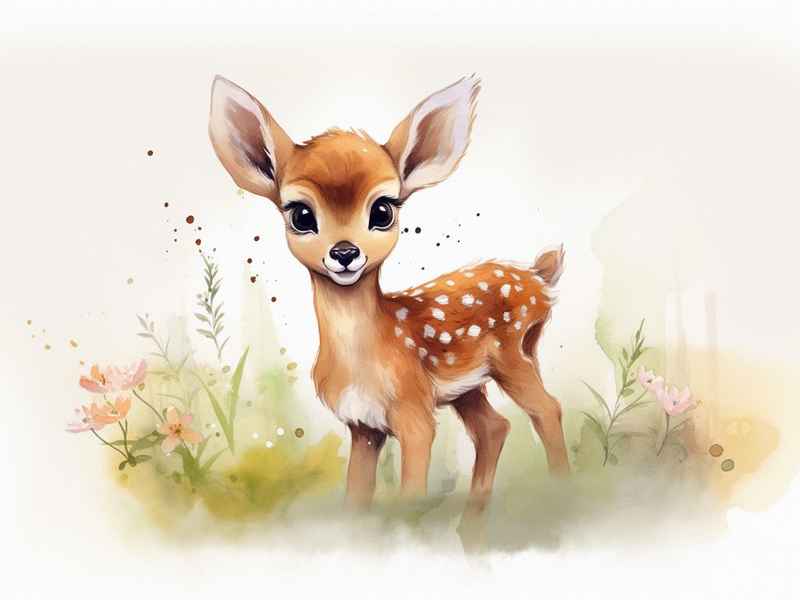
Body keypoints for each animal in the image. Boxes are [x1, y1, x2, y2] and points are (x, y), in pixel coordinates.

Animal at [208, 74, 569, 521]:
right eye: (301, 215)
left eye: (383, 209)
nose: (345, 253)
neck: (368, 355)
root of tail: (539, 276)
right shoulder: (362, 426)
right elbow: (356, 495)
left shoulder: (415, 416)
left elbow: (412, 492)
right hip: (467, 385)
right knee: (494, 428)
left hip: (513, 352)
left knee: (547, 408)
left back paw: (562, 490)